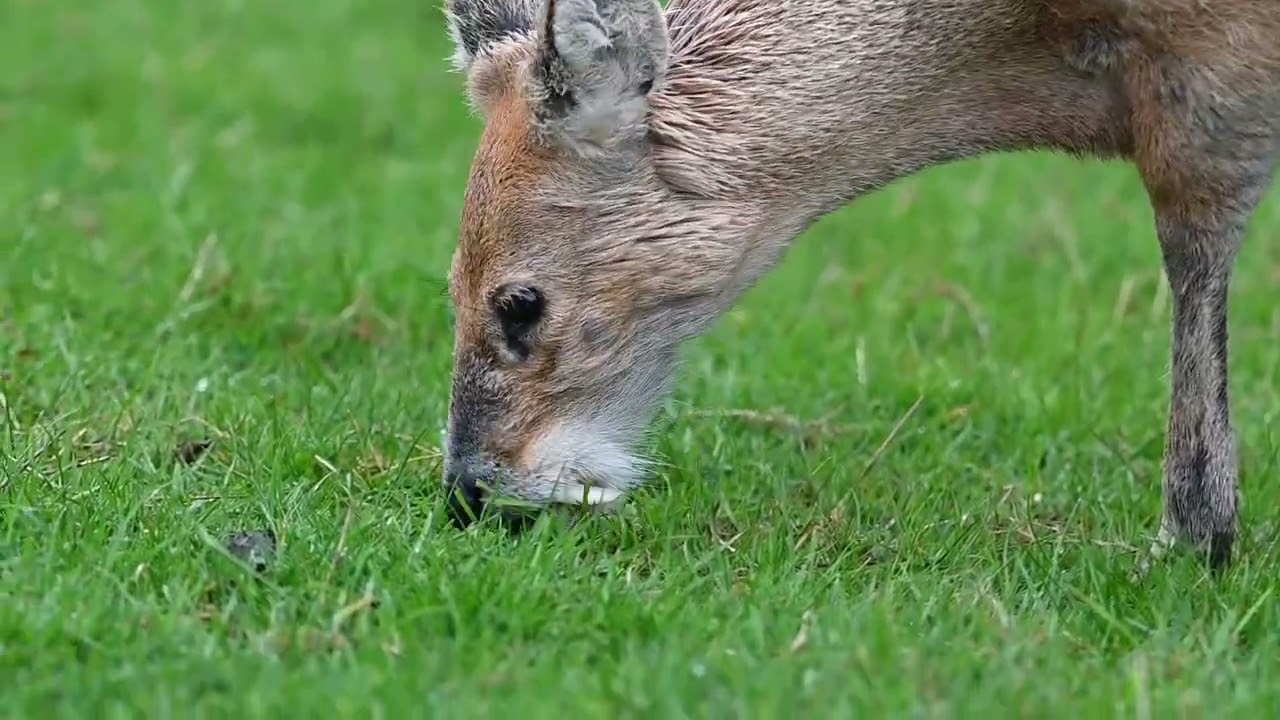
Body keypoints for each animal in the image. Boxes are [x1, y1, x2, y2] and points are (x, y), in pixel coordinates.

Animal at [438, 0, 1280, 572]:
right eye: (448, 286)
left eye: (521, 303)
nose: (472, 495)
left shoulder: (1207, 103)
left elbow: (1195, 256)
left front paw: (1194, 539)